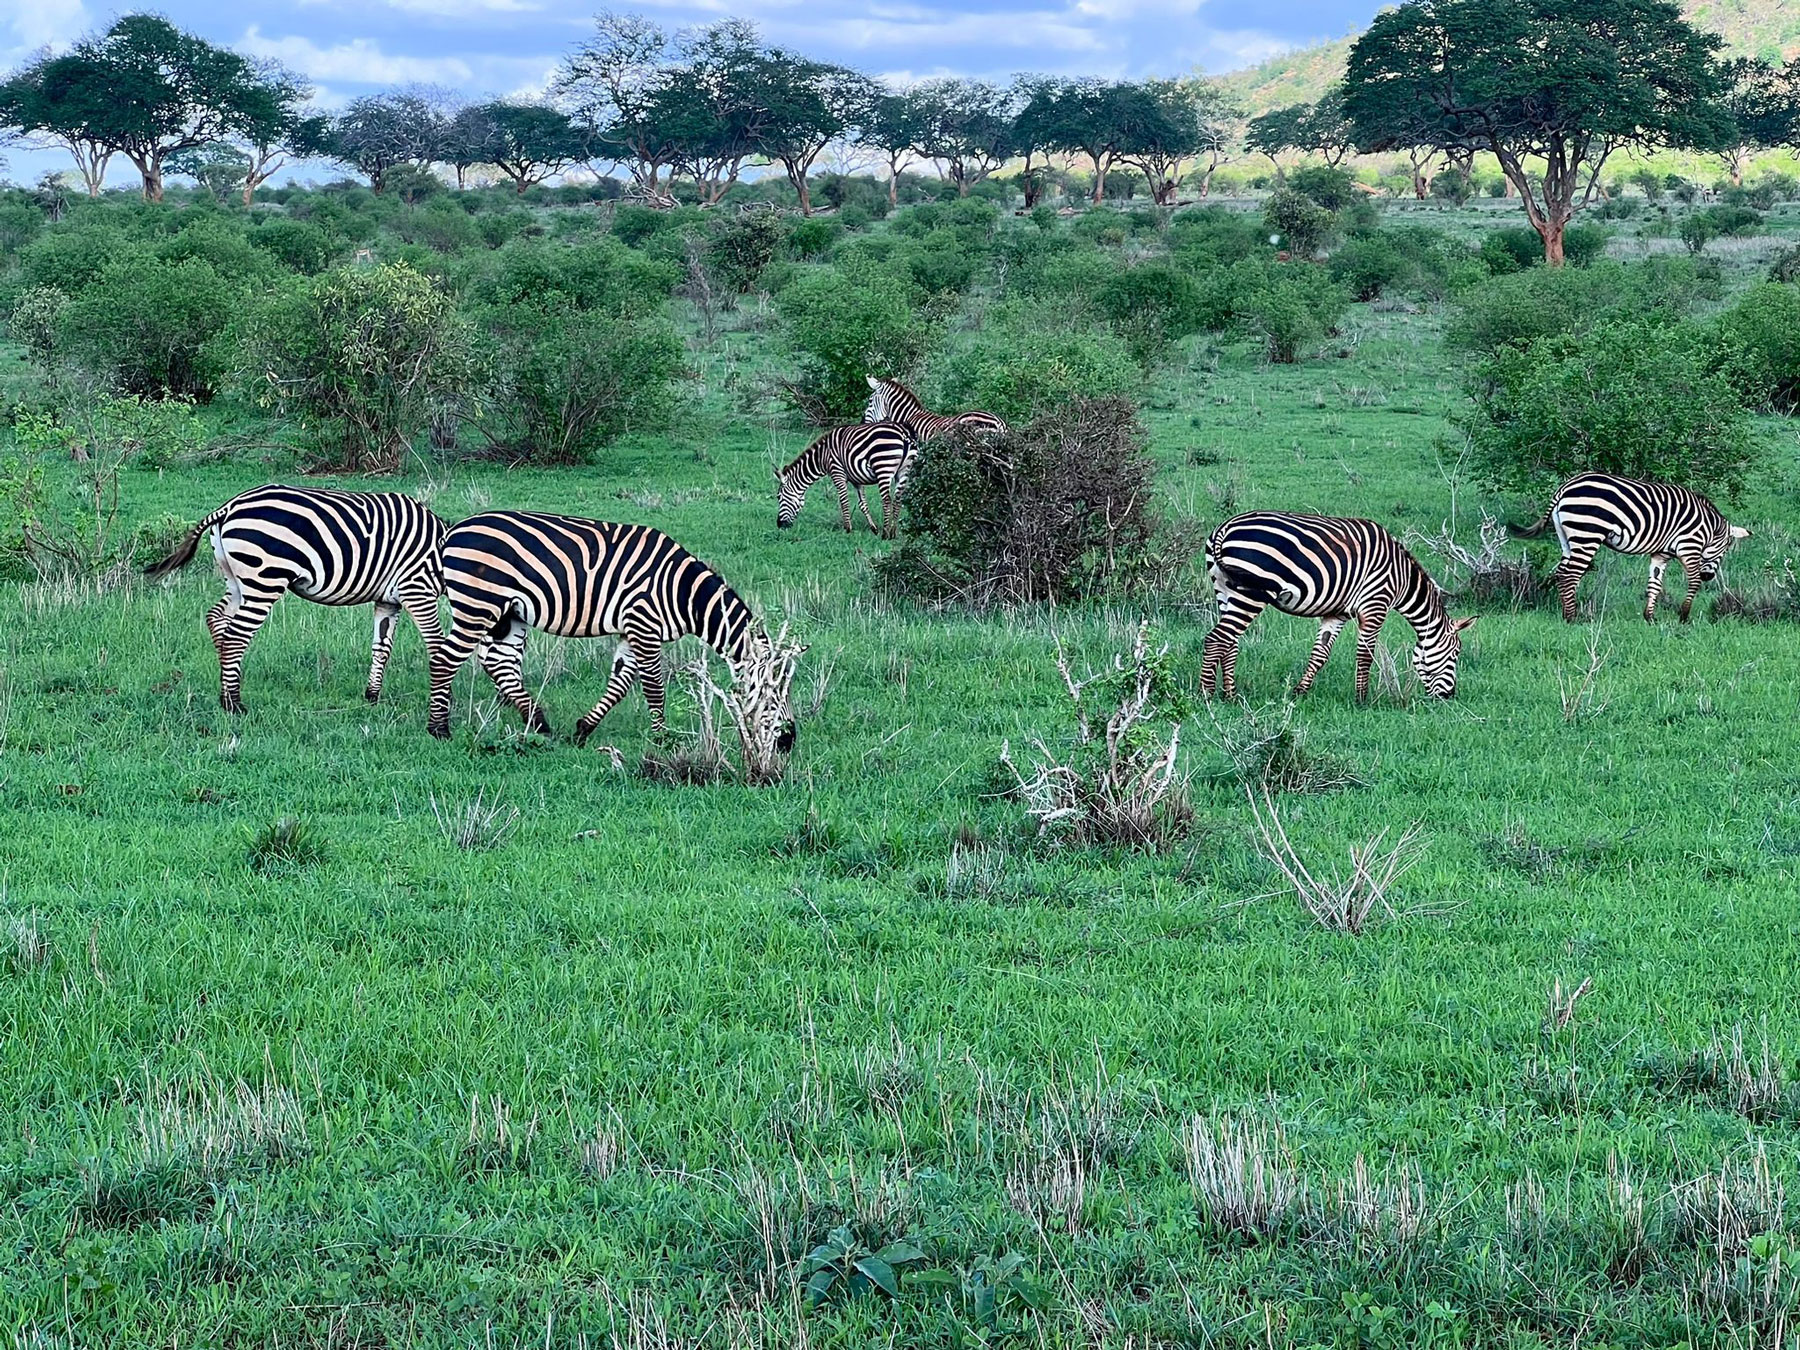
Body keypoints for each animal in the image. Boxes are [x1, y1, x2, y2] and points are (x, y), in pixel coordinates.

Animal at [144, 485, 446, 713]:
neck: (442, 552)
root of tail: (229, 507)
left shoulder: (388, 601)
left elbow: (381, 648)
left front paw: (372, 696)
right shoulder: (416, 590)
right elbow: (437, 645)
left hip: (236, 581)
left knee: (216, 619)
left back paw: (225, 694)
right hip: (264, 582)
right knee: (236, 636)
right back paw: (235, 704)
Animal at [426, 510, 797, 754]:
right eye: (775, 692)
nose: (790, 741)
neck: (684, 593)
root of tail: (454, 531)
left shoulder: (632, 631)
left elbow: (618, 686)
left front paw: (582, 731)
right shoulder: (644, 625)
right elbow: (654, 688)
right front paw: (662, 739)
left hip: (507, 613)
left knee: (499, 664)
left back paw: (539, 724)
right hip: (478, 603)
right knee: (445, 659)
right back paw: (439, 729)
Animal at [774, 422, 914, 538]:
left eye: (779, 497)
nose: (779, 525)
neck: (822, 457)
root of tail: (904, 433)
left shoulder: (837, 473)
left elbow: (844, 501)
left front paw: (847, 529)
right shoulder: (856, 479)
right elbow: (863, 504)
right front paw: (873, 528)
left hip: (883, 467)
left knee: (886, 500)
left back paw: (885, 534)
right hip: (904, 471)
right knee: (898, 499)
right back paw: (893, 532)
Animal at [1201, 512, 1476, 702]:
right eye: (1455, 654)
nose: (1449, 696)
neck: (1402, 578)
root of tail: (1224, 529)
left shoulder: (1337, 613)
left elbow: (1320, 654)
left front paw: (1299, 692)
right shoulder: (1375, 605)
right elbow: (1365, 654)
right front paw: (1362, 699)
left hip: (1225, 589)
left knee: (1229, 642)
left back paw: (1230, 694)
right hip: (1252, 593)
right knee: (1216, 639)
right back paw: (1207, 695)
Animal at [1509, 473, 1751, 623]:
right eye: (1724, 552)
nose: (1709, 576)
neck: (1709, 527)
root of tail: (1564, 487)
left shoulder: (1661, 554)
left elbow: (1654, 584)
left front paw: (1650, 618)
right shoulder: (1689, 547)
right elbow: (1693, 582)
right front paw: (1684, 616)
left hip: (1566, 538)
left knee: (1561, 573)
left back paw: (1565, 613)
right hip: (1587, 534)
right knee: (1570, 575)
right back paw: (1572, 618)